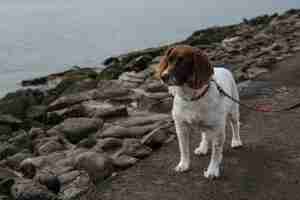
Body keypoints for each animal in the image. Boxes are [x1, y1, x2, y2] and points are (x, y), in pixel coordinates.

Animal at [157, 45, 244, 178]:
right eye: (169, 60)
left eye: (181, 62)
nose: (163, 76)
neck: (192, 97)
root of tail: (223, 68)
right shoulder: (181, 127)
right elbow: (183, 149)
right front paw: (184, 165)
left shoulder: (217, 128)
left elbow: (215, 152)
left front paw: (212, 170)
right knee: (205, 134)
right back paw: (203, 147)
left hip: (233, 110)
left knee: (235, 125)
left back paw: (236, 141)